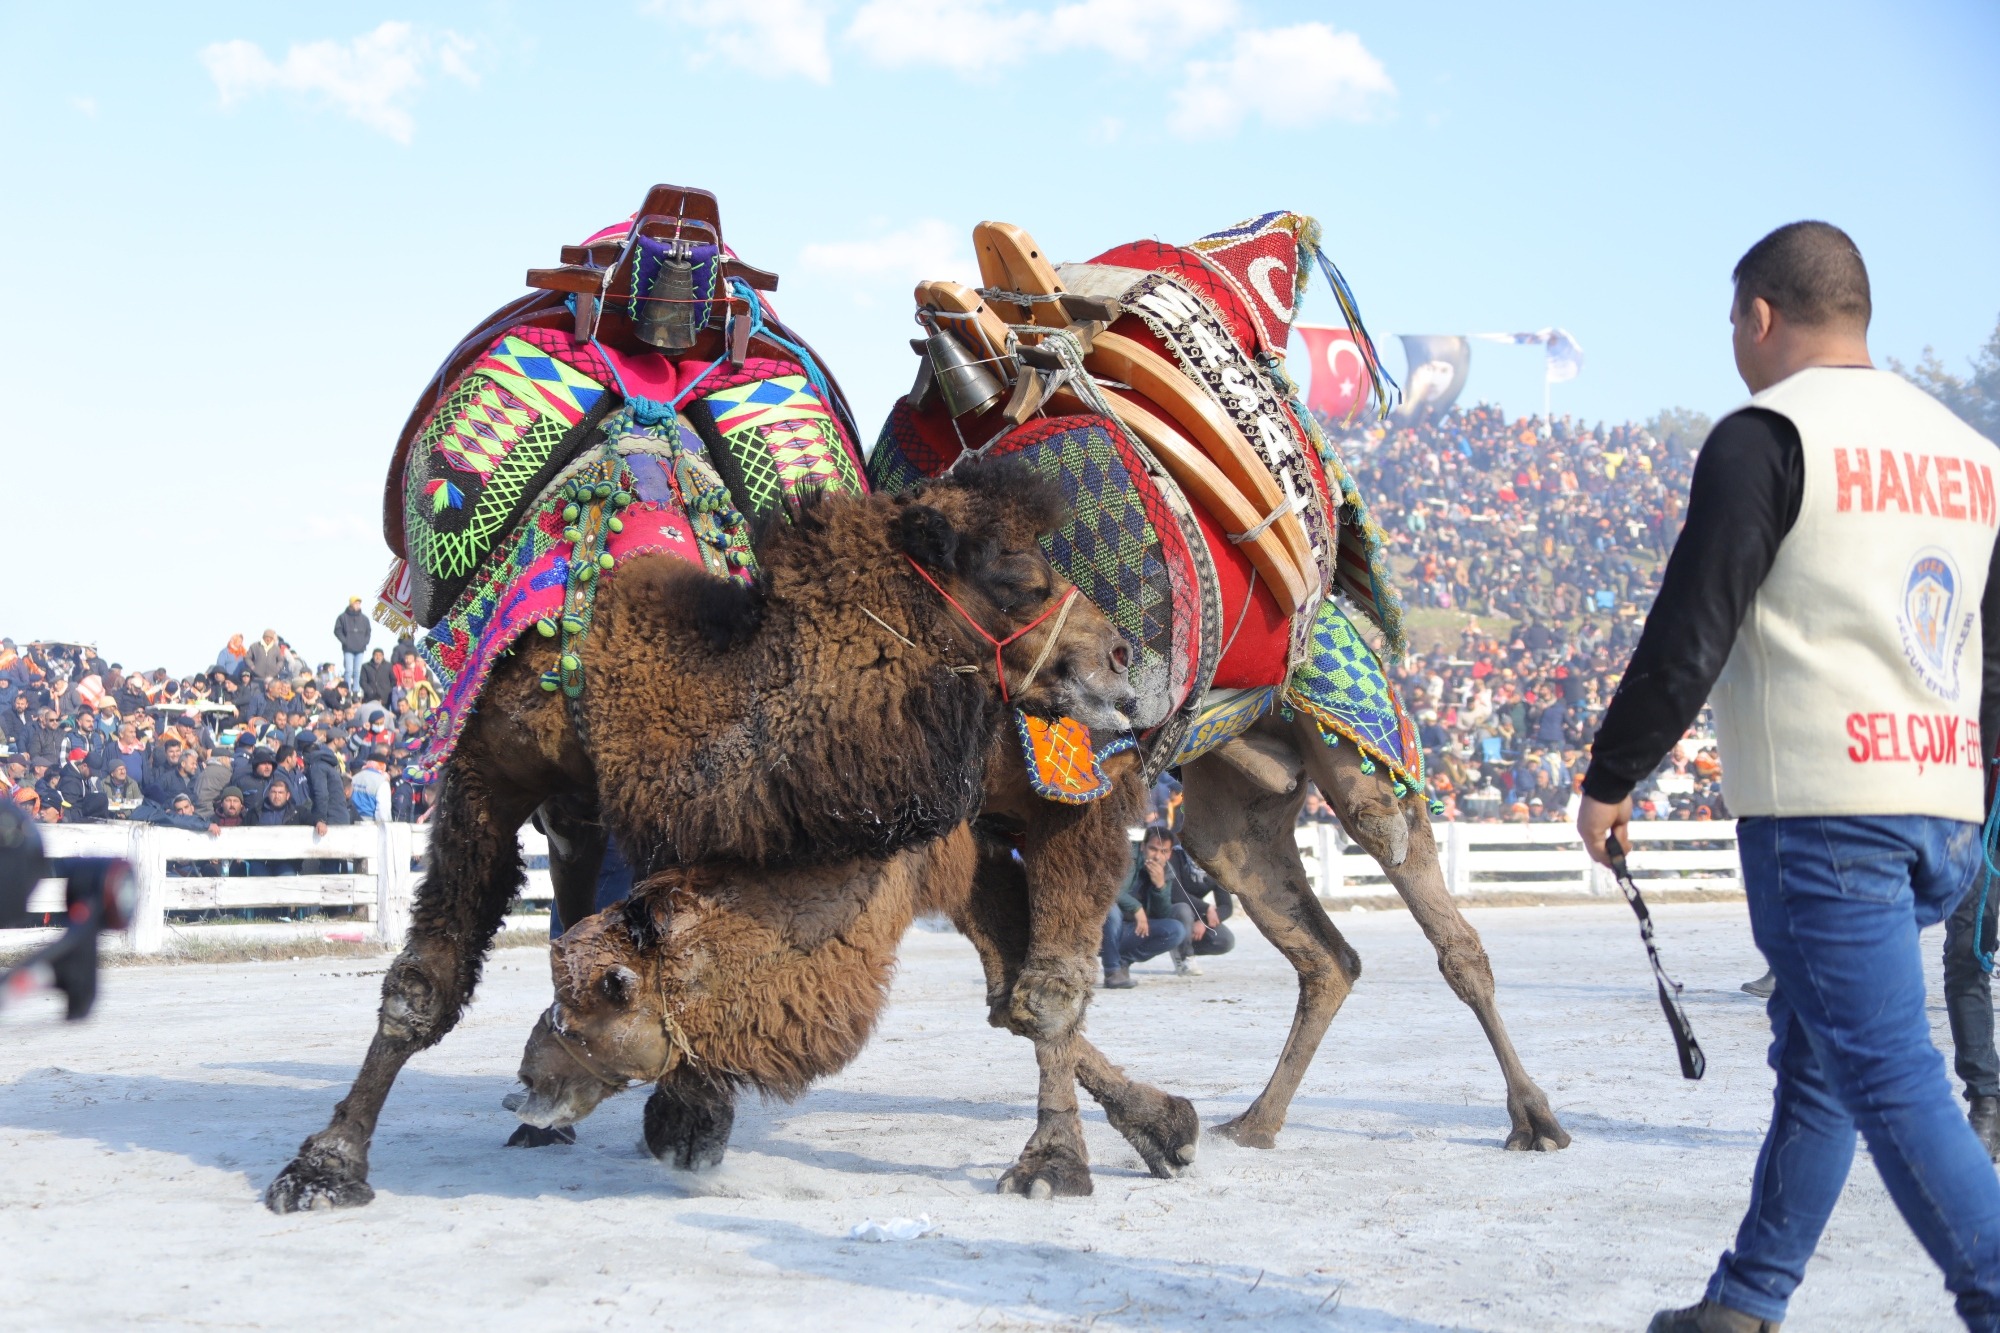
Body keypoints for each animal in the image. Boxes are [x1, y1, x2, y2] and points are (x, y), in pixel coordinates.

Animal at [264, 462, 1144, 1208]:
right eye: (1020, 581)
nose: (1120, 654)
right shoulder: (493, 773)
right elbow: (424, 982)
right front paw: (324, 1164)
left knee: (1018, 980)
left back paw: (1143, 1127)